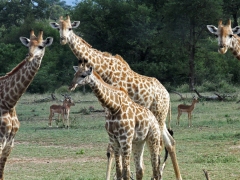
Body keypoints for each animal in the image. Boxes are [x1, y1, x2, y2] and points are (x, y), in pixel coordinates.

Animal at [0, 29, 52, 179]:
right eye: (28, 46)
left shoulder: (9, 144)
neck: (9, 102)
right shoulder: (0, 142)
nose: (29, 56)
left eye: (41, 46)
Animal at [50, 15, 182, 180]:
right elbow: (111, 150)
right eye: (58, 28)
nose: (63, 39)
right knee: (170, 142)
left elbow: (113, 151)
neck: (104, 69)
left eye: (70, 28)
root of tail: (167, 95)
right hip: (160, 119)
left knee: (163, 143)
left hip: (159, 115)